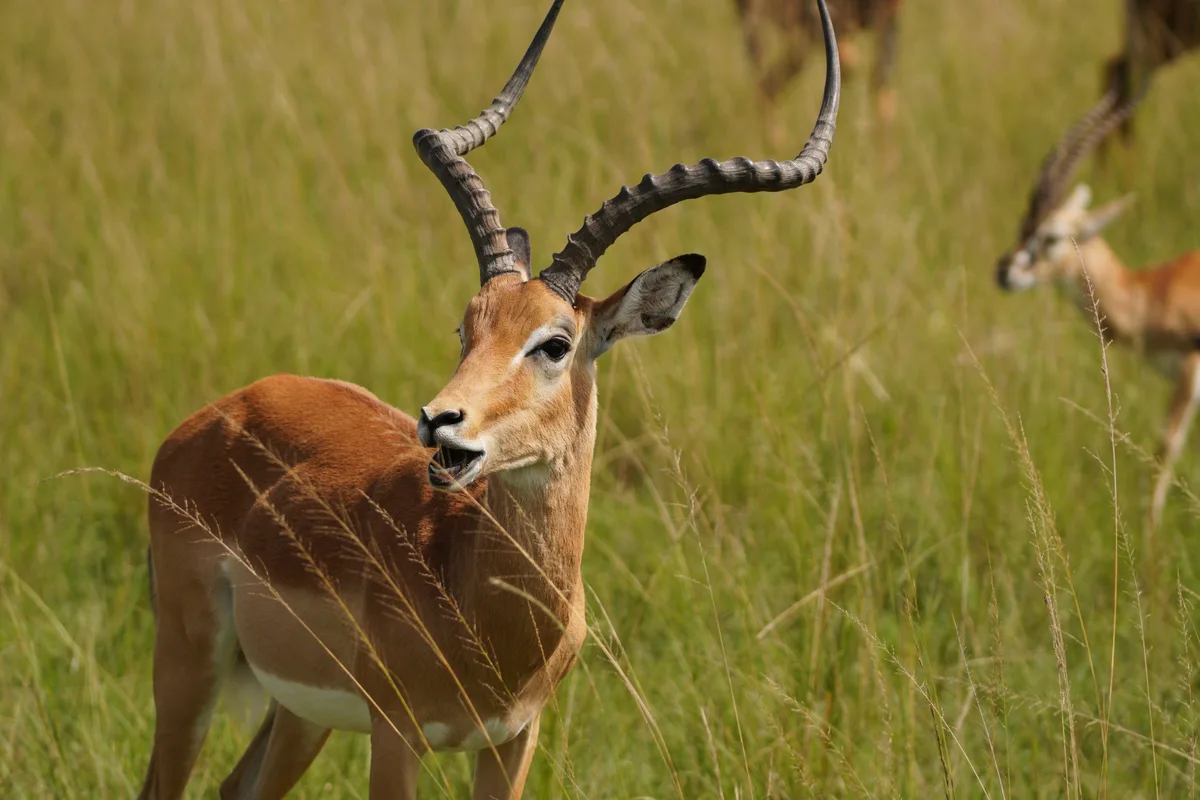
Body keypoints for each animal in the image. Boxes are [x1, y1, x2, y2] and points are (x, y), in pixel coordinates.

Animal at [137, 0, 841, 797]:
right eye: (465, 325)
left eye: (555, 343)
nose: (439, 421)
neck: (477, 599)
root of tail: (217, 412)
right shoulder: (397, 735)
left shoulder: (513, 739)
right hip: (188, 664)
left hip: (298, 713)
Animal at [995, 86, 1200, 529]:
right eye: (1023, 223)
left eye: (1052, 236)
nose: (1003, 271)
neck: (1153, 291)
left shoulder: (1189, 373)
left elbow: (1164, 450)